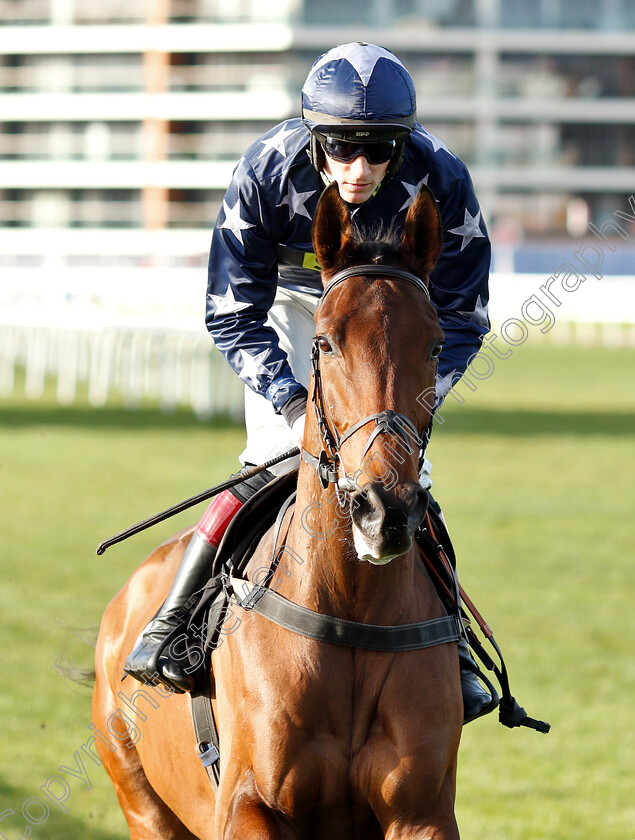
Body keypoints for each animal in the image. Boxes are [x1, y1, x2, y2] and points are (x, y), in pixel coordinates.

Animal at [93, 185, 462, 840]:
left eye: (437, 345)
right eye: (324, 342)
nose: (382, 509)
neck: (350, 613)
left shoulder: (422, 811)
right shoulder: (248, 805)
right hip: (139, 797)